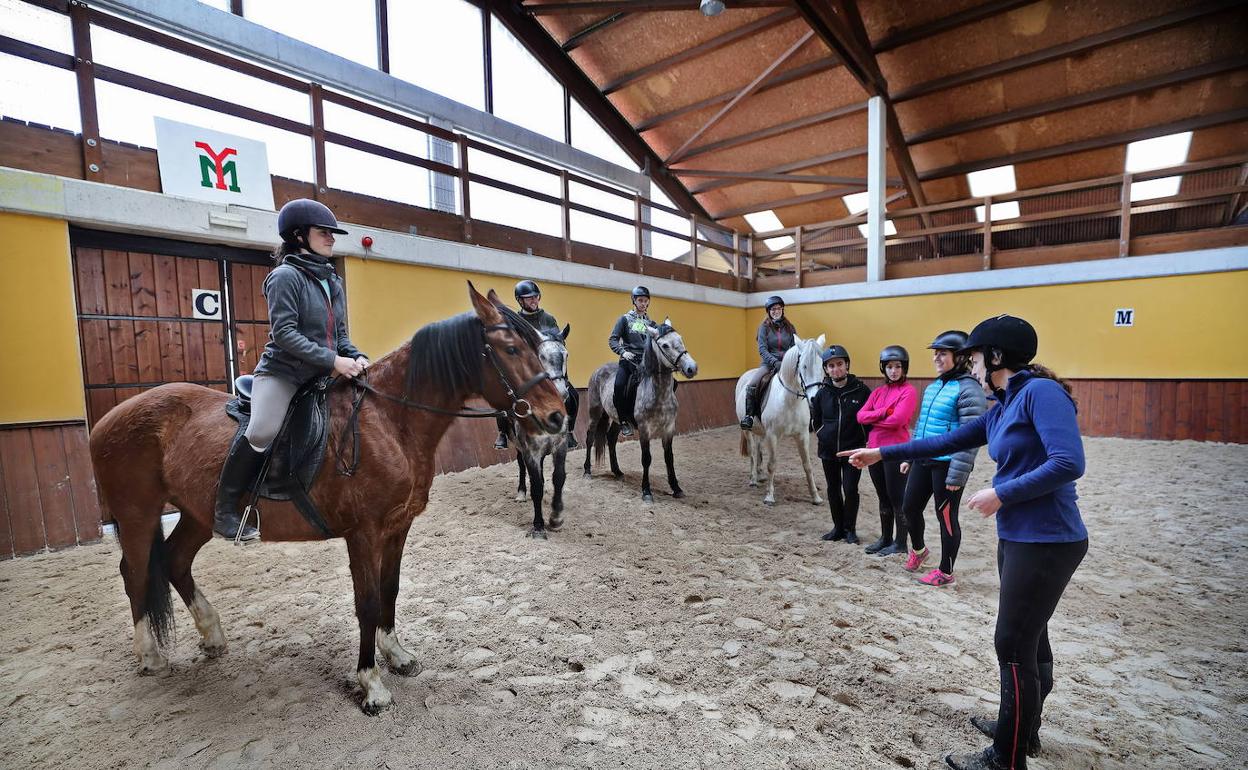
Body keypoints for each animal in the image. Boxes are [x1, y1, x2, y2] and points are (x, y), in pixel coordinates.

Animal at [90, 283, 569, 713]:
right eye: (511, 349)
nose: (557, 417)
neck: (390, 421)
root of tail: (109, 417)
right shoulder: (364, 532)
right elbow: (367, 602)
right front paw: (371, 684)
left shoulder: (398, 526)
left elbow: (390, 591)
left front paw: (396, 655)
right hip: (138, 513)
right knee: (135, 573)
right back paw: (150, 656)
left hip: (197, 513)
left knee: (175, 561)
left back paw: (212, 635)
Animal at [581, 316, 698, 501]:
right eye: (665, 345)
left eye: (680, 339)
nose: (691, 368)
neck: (658, 392)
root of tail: (599, 370)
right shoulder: (644, 429)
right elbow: (646, 458)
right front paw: (646, 491)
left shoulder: (669, 428)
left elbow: (669, 458)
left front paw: (676, 488)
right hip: (595, 412)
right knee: (590, 438)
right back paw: (587, 471)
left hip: (618, 419)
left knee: (611, 438)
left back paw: (617, 472)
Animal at [728, 334, 828, 504]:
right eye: (804, 366)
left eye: (822, 366)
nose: (814, 398)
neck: (790, 400)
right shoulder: (773, 435)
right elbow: (772, 464)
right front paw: (769, 496)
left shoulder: (802, 435)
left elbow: (807, 465)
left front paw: (815, 496)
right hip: (748, 429)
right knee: (753, 451)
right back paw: (753, 479)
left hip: (761, 431)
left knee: (758, 448)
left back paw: (760, 475)